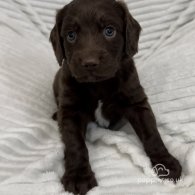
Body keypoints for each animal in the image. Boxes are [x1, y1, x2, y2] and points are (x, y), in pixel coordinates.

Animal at [50, 0, 181, 195]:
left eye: (109, 31)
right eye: (71, 35)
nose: (89, 63)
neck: (98, 84)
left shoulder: (136, 101)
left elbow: (151, 133)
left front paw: (166, 163)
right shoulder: (70, 110)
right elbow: (74, 143)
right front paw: (79, 176)